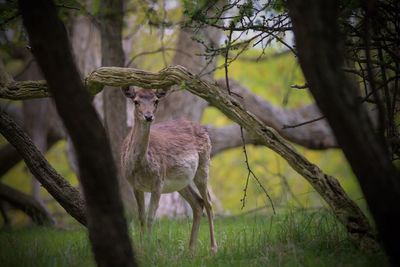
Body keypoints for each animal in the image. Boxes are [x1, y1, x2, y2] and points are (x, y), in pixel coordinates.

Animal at [120, 87, 217, 253]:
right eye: (136, 101)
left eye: (156, 101)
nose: (148, 116)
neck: (140, 166)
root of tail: (203, 128)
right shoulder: (135, 185)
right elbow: (141, 217)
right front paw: (142, 246)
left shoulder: (158, 181)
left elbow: (151, 217)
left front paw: (149, 247)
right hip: (181, 182)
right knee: (198, 203)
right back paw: (191, 249)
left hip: (203, 165)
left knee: (208, 202)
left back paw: (213, 248)